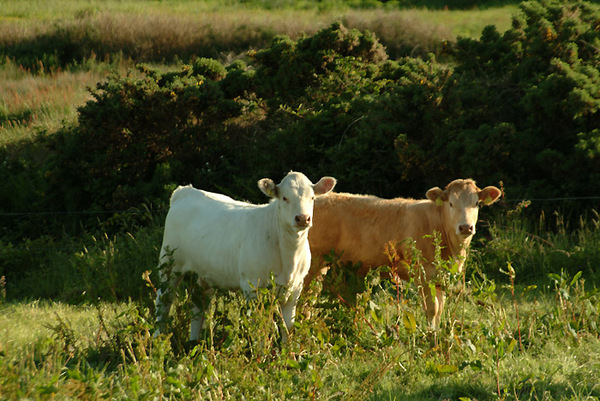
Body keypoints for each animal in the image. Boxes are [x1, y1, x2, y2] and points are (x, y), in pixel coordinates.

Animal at [310, 179, 502, 328]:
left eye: (476, 203)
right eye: (451, 203)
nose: (465, 227)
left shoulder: (440, 278)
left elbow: (440, 309)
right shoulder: (424, 275)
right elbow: (432, 309)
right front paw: (431, 335)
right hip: (313, 263)